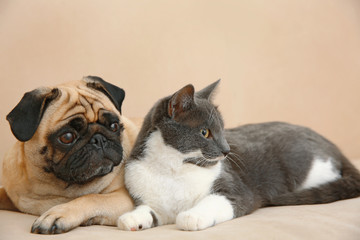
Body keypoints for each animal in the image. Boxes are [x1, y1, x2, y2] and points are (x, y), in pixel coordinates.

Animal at [117, 80, 360, 231]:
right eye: (205, 132)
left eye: (223, 130)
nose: (227, 150)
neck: (174, 168)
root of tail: (331, 145)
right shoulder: (150, 194)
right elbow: (151, 210)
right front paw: (132, 217)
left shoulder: (236, 190)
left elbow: (218, 200)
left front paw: (191, 216)